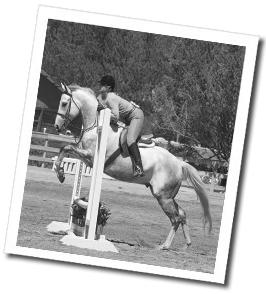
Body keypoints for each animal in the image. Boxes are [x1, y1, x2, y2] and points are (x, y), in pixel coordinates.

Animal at [54, 82, 212, 250]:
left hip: (163, 196)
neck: (96, 125)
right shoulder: (86, 157)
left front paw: (60, 173)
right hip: (166, 195)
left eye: (64, 103)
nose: (57, 126)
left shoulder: (90, 157)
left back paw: (164, 246)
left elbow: (67, 148)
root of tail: (179, 163)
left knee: (175, 218)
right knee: (182, 214)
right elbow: (65, 148)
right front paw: (60, 172)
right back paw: (186, 245)